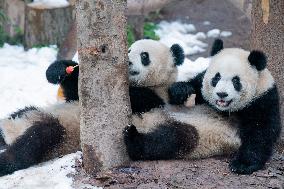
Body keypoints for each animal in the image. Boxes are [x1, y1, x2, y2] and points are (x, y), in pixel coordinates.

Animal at [124, 39, 282, 175]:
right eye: (216, 77)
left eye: (236, 81)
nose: (222, 94)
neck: (226, 111)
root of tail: (145, 123)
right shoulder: (198, 86)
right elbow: (192, 86)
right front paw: (180, 90)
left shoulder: (263, 99)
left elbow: (260, 133)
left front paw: (242, 165)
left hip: (194, 132)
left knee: (170, 140)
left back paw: (133, 138)